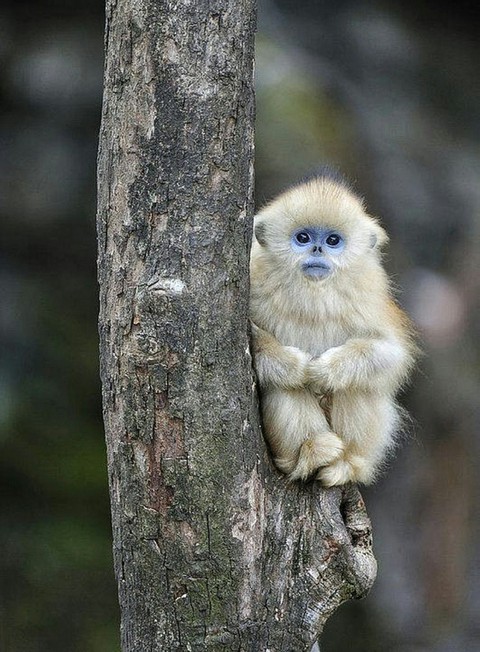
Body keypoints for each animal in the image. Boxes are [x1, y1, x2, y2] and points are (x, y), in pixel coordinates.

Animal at [250, 173, 416, 486]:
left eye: (333, 240)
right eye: (303, 238)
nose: (318, 249)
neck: (314, 293)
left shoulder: (369, 294)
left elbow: (390, 352)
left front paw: (324, 371)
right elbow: (257, 343)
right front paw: (299, 368)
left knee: (359, 385)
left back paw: (345, 465)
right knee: (283, 387)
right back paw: (312, 453)